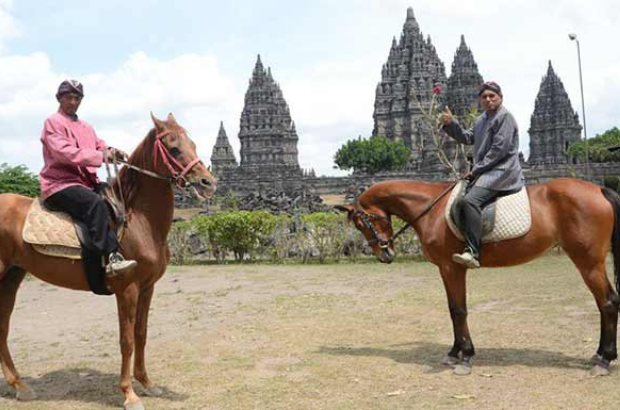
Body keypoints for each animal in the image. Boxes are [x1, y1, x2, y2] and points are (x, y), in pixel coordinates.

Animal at [0, 113, 218, 410]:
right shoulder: (127, 289)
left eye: (193, 144)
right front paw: (129, 393)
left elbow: (141, 333)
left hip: (12, 276)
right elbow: (126, 340)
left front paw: (147, 383)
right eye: (174, 149)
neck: (138, 220)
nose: (208, 183)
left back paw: (20, 385)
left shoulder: (147, 287)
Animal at [340, 179, 620, 378]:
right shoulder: (446, 269)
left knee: (608, 302)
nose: (383, 254)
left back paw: (605, 360)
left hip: (588, 263)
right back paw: (599, 355)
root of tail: (599, 189)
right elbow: (453, 308)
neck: (431, 208)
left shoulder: (452, 268)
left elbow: (459, 310)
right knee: (604, 304)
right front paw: (455, 352)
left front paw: (465, 357)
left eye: (362, 223)